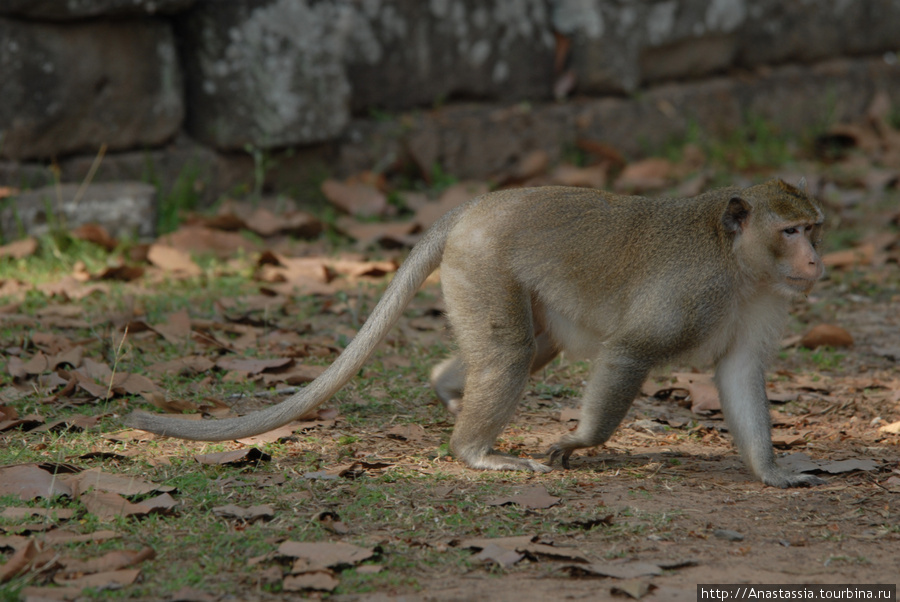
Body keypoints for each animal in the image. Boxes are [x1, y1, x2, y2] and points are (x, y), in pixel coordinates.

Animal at [123, 178, 828, 488]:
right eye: (791, 231)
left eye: (814, 228)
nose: (816, 260)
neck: (739, 267)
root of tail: (478, 205)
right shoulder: (693, 293)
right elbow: (630, 351)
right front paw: (577, 441)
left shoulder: (763, 302)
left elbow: (739, 374)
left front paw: (771, 471)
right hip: (483, 263)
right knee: (513, 351)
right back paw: (472, 452)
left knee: (530, 347)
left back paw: (448, 389)